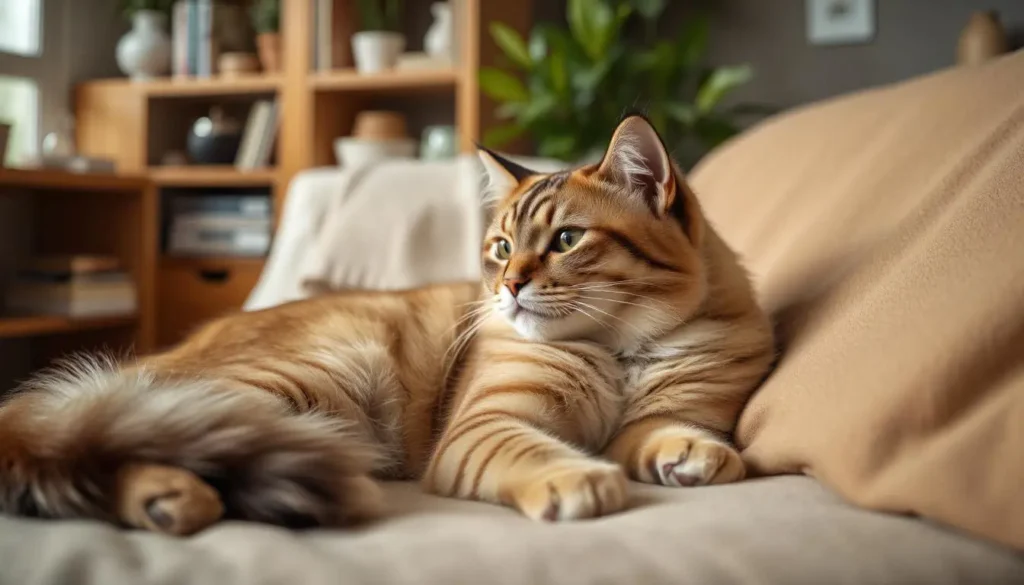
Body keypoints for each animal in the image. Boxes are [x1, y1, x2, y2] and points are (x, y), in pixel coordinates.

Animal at [0, 114, 774, 536]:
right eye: (501, 247)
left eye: (566, 240)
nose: (510, 286)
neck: (618, 351)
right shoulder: (486, 427)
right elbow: (541, 454)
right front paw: (579, 479)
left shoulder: (666, 410)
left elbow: (662, 430)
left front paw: (694, 455)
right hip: (296, 383)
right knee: (116, 443)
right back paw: (171, 497)